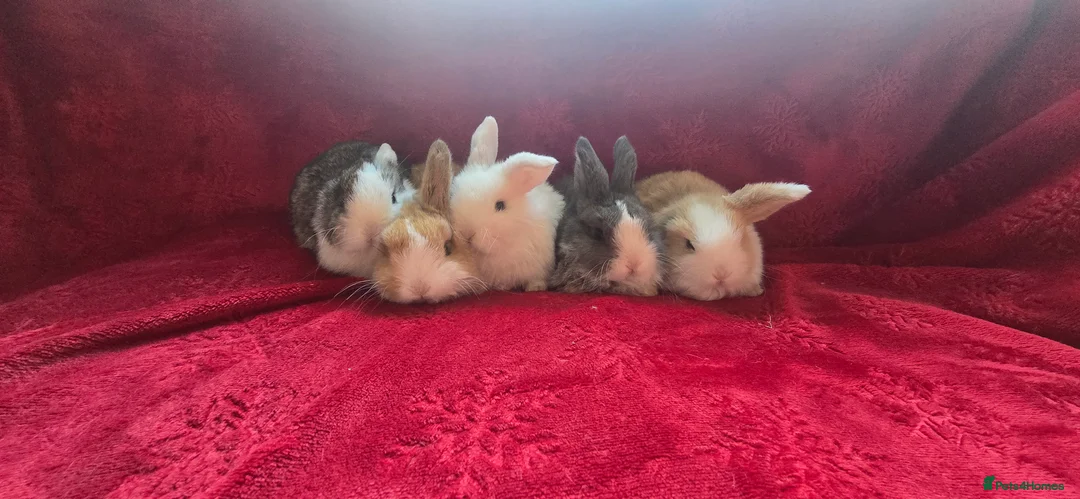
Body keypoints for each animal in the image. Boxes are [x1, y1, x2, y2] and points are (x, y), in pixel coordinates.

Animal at [450, 116, 565, 291]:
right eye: (453, 193)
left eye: (500, 205)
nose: (466, 233)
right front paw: (502, 287)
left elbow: (536, 278)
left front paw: (535, 288)